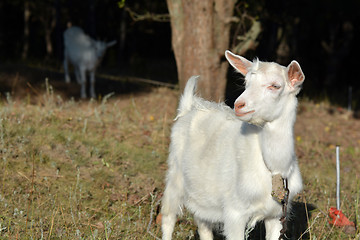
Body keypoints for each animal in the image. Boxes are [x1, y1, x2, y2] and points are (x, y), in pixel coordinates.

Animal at [160, 49, 304, 239]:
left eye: (275, 86)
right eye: (246, 83)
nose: (239, 105)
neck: (273, 168)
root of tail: (189, 107)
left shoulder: (277, 214)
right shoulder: (235, 211)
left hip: (201, 189)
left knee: (202, 221)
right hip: (175, 174)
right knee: (168, 216)